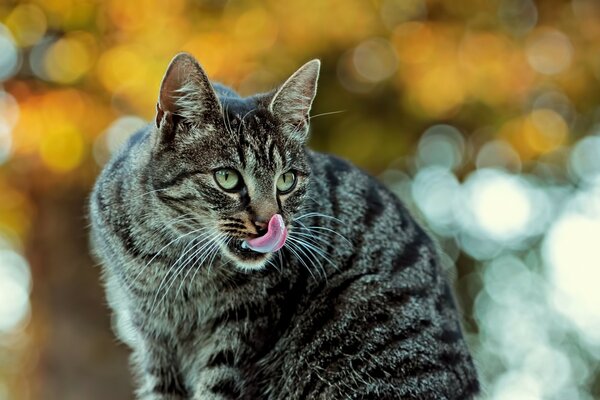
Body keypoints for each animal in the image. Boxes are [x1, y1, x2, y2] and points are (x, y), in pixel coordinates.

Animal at [89, 54, 480, 400]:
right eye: (227, 178)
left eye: (286, 180)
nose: (268, 224)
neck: (168, 253)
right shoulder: (155, 344)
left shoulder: (241, 332)